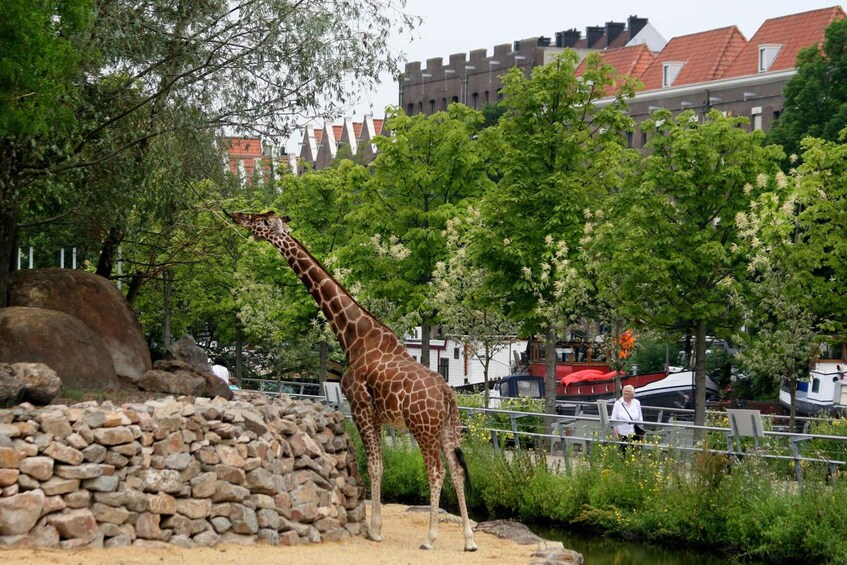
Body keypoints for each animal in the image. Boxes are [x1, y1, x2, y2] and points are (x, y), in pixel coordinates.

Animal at [226, 210, 477, 552]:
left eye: (262, 222)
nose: (236, 215)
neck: (354, 338)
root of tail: (448, 394)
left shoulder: (360, 405)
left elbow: (374, 465)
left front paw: (375, 530)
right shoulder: (376, 414)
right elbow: (379, 464)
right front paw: (375, 526)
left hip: (423, 428)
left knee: (436, 470)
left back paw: (429, 538)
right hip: (448, 429)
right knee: (456, 470)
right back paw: (469, 540)